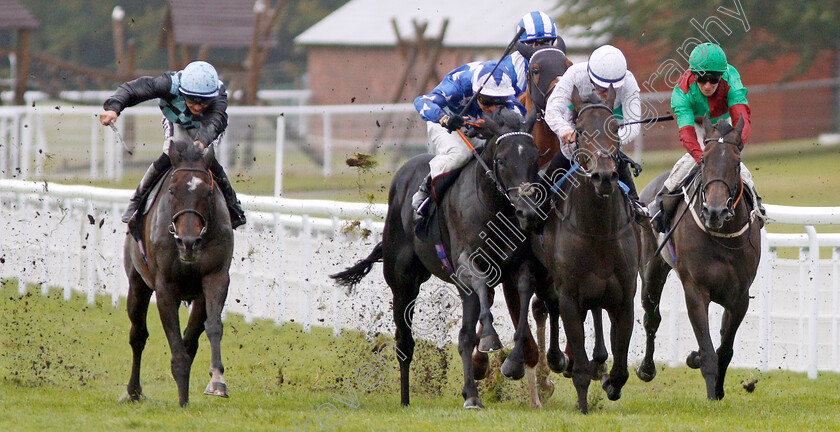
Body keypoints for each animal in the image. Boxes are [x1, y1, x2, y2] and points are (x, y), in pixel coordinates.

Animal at [121, 124, 233, 404]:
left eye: (208, 192)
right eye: (172, 190)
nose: (188, 242)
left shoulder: (215, 277)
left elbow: (211, 327)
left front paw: (217, 381)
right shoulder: (165, 287)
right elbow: (173, 339)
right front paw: (183, 398)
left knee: (190, 339)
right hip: (137, 283)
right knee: (137, 335)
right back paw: (134, 390)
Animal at [332, 110, 540, 408]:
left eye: (535, 157)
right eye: (501, 159)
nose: (527, 212)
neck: (491, 206)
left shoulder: (519, 266)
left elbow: (523, 296)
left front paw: (513, 362)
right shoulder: (466, 264)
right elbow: (478, 291)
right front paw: (489, 339)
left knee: (464, 334)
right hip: (403, 283)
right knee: (405, 342)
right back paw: (406, 400)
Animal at [636, 116, 760, 400]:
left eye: (737, 162)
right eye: (703, 160)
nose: (714, 211)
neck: (722, 236)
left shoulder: (739, 296)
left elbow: (724, 348)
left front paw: (717, 387)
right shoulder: (695, 289)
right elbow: (708, 350)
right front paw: (712, 394)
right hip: (651, 270)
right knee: (651, 318)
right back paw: (645, 369)